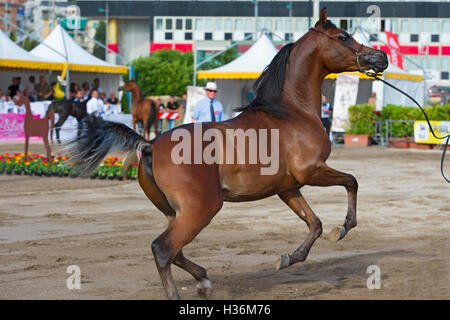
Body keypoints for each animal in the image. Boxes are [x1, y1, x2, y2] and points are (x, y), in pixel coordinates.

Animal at [68, 9, 388, 300]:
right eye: (343, 36)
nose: (380, 58)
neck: (291, 113)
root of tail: (150, 145)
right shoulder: (311, 171)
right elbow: (351, 182)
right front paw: (344, 228)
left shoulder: (288, 187)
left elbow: (315, 224)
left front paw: (289, 258)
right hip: (201, 209)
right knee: (163, 249)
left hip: (175, 212)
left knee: (175, 251)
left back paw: (204, 279)